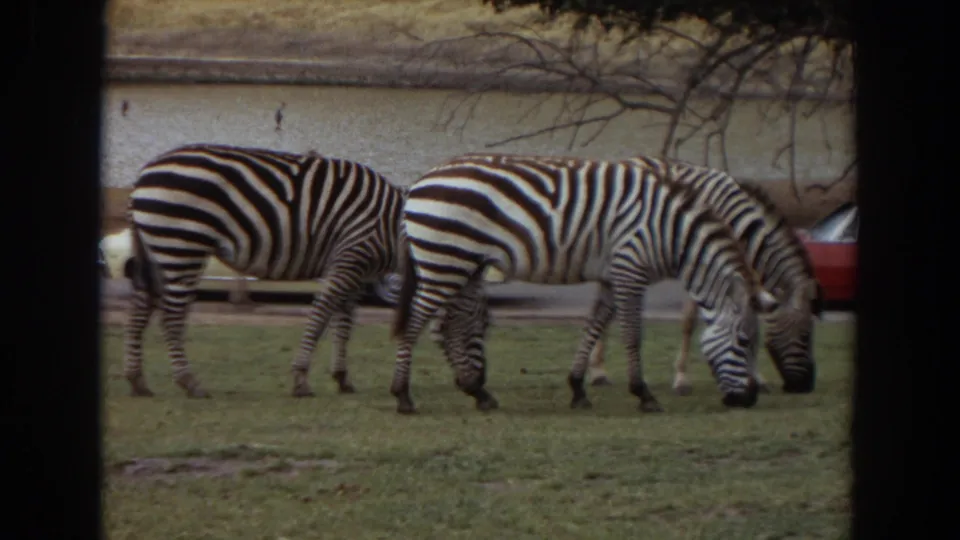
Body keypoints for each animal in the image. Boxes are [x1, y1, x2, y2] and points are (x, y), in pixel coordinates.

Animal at [123, 143, 409, 398]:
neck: (392, 224)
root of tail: (144, 173)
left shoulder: (356, 271)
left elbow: (345, 323)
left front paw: (342, 377)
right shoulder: (349, 258)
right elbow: (321, 316)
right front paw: (301, 378)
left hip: (158, 250)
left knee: (141, 308)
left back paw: (138, 381)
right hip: (181, 245)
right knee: (170, 316)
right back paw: (189, 382)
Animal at [389, 154, 780, 415]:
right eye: (744, 342)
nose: (749, 399)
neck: (672, 233)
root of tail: (420, 181)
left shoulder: (612, 274)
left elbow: (594, 325)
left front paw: (578, 388)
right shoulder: (631, 269)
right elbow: (631, 334)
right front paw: (643, 394)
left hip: (460, 262)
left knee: (449, 325)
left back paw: (477, 393)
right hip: (445, 259)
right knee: (416, 321)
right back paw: (403, 395)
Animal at [579, 156, 824, 395]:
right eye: (805, 335)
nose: (807, 386)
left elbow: (749, 321)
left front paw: (756, 378)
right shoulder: (704, 266)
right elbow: (689, 322)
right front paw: (681, 378)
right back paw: (598, 372)